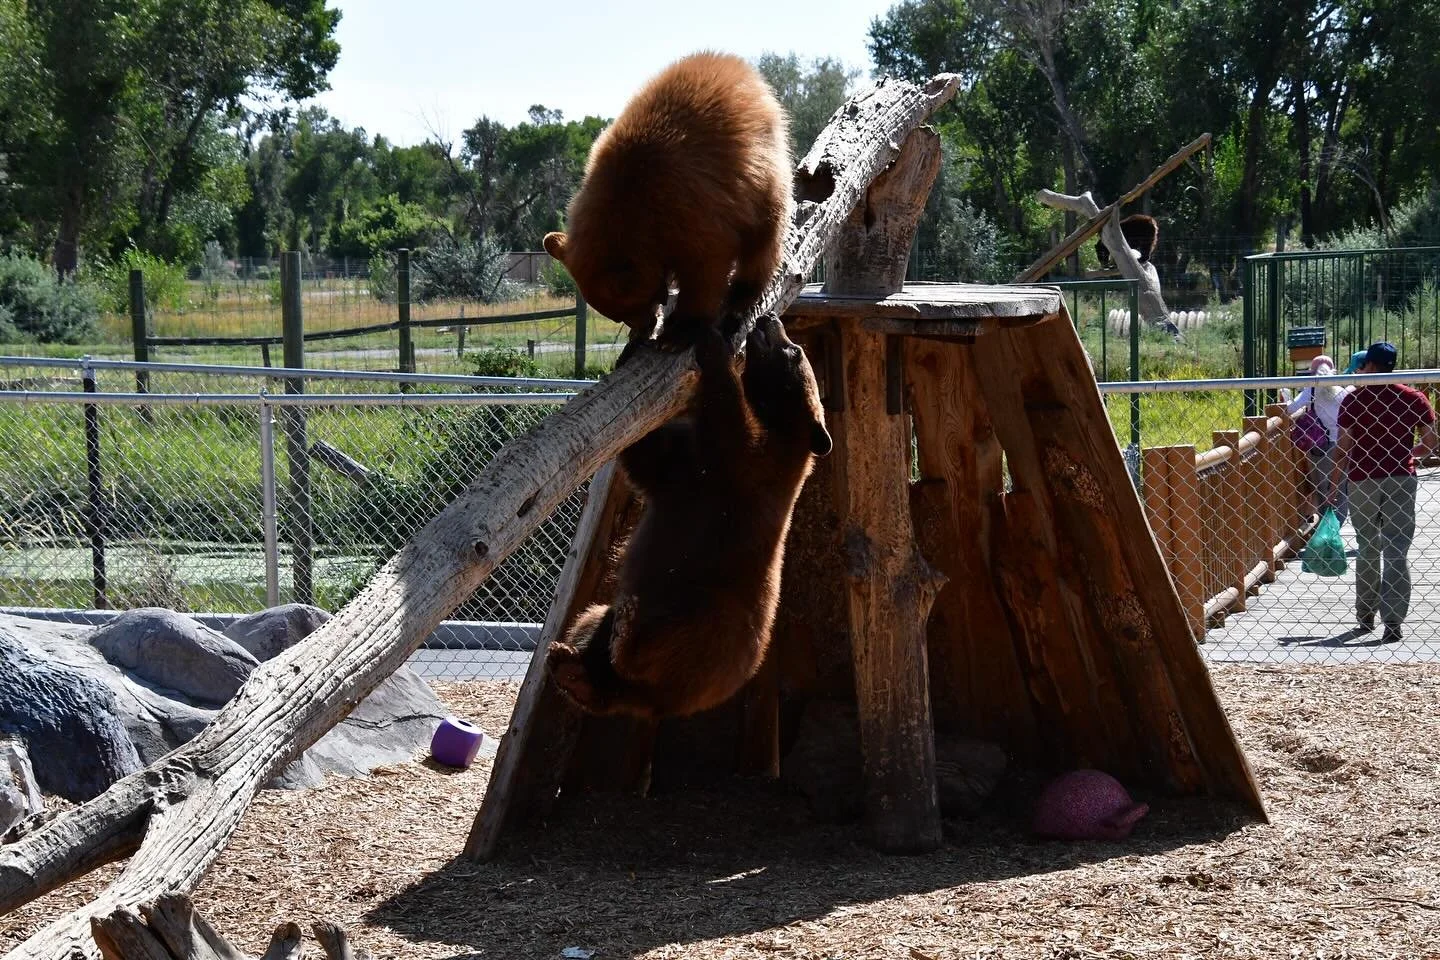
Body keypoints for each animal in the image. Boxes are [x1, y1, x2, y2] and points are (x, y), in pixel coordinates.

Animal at [542, 51, 792, 352]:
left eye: (627, 309)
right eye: (616, 316)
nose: (642, 330)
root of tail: (744, 69)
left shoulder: (689, 204)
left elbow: (706, 265)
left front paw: (680, 330)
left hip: (763, 173)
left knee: (763, 239)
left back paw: (742, 295)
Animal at [546, 314, 832, 720]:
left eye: (795, 350)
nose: (770, 318)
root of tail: (670, 703)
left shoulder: (755, 469)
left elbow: (728, 423)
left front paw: (713, 345)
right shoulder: (685, 464)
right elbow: (650, 456)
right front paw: (635, 344)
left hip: (709, 617)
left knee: (665, 639)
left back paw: (627, 638)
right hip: (630, 631)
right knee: (594, 630)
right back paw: (575, 670)